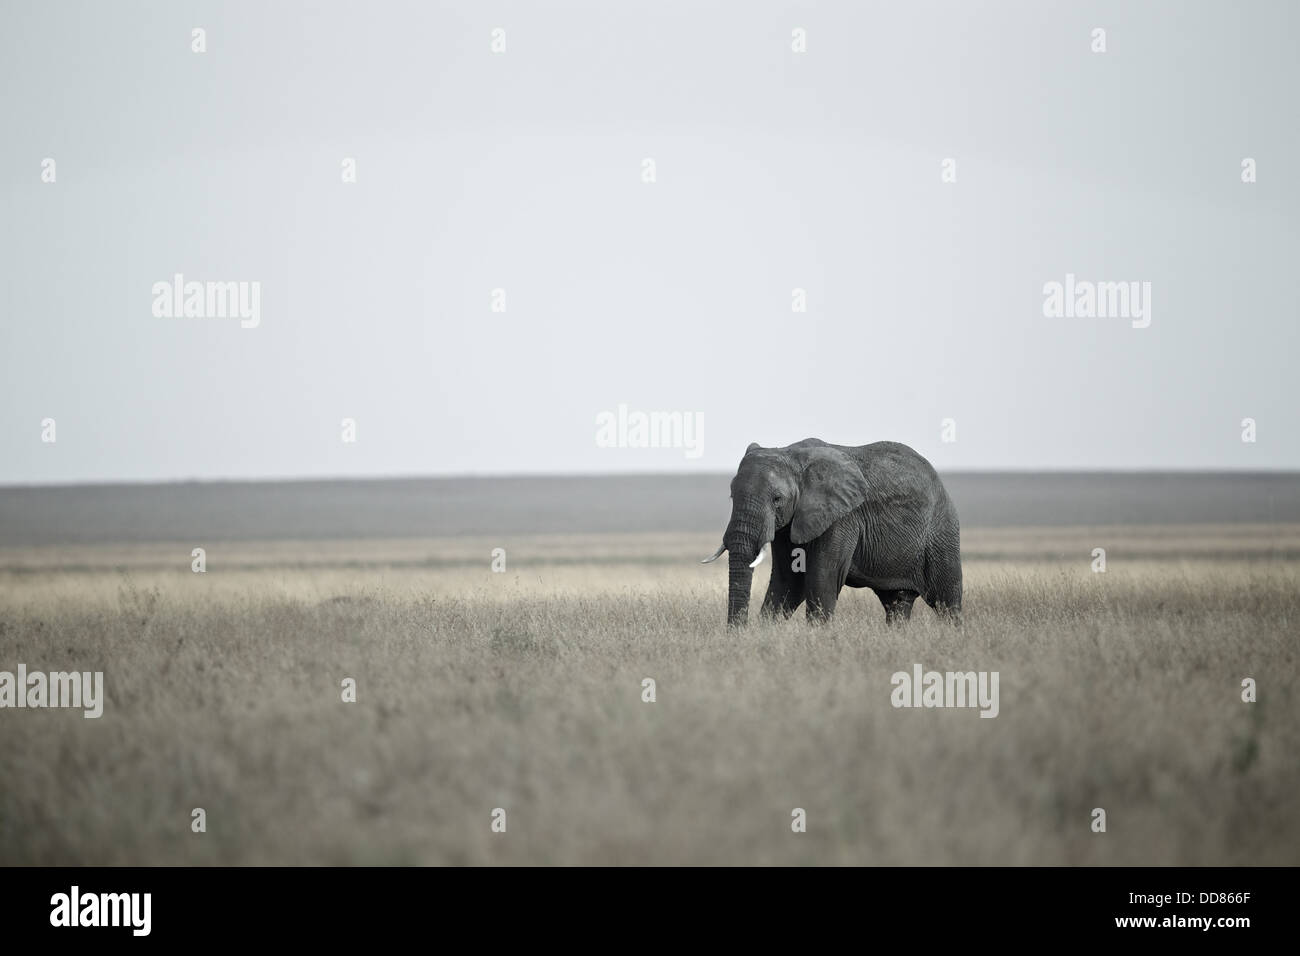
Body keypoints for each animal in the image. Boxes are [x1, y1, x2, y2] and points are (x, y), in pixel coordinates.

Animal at [702, 442, 967, 629]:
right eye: (732, 496)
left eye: (777, 499)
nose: (737, 633)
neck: (791, 454)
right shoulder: (788, 524)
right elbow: (788, 580)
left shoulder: (841, 518)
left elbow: (821, 578)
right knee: (897, 603)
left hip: (941, 532)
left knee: (946, 600)